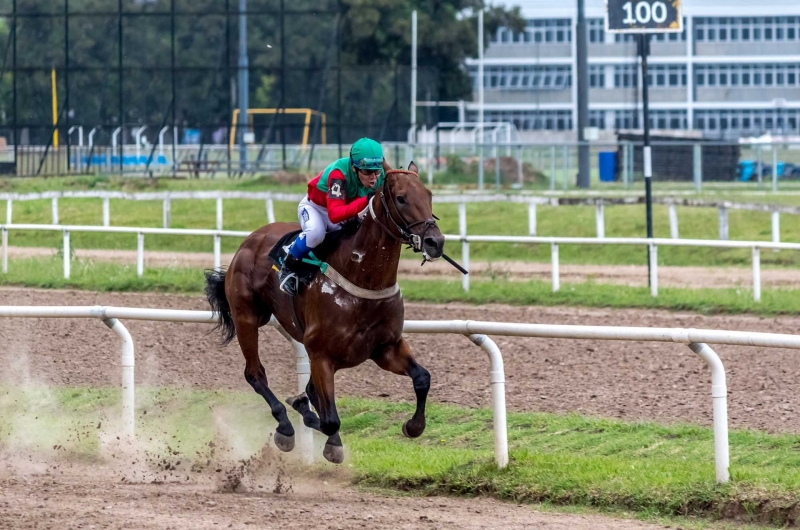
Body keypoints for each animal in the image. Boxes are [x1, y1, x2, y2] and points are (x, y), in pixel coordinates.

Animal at [205, 163, 444, 460]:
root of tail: (249, 241)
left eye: (429, 194)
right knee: (255, 373)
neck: (363, 278)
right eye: (401, 198)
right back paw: (285, 426)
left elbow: (422, 378)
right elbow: (329, 420)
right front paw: (321, 434)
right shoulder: (320, 353)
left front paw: (413, 426)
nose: (436, 242)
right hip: (246, 317)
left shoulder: (385, 347)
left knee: (306, 388)